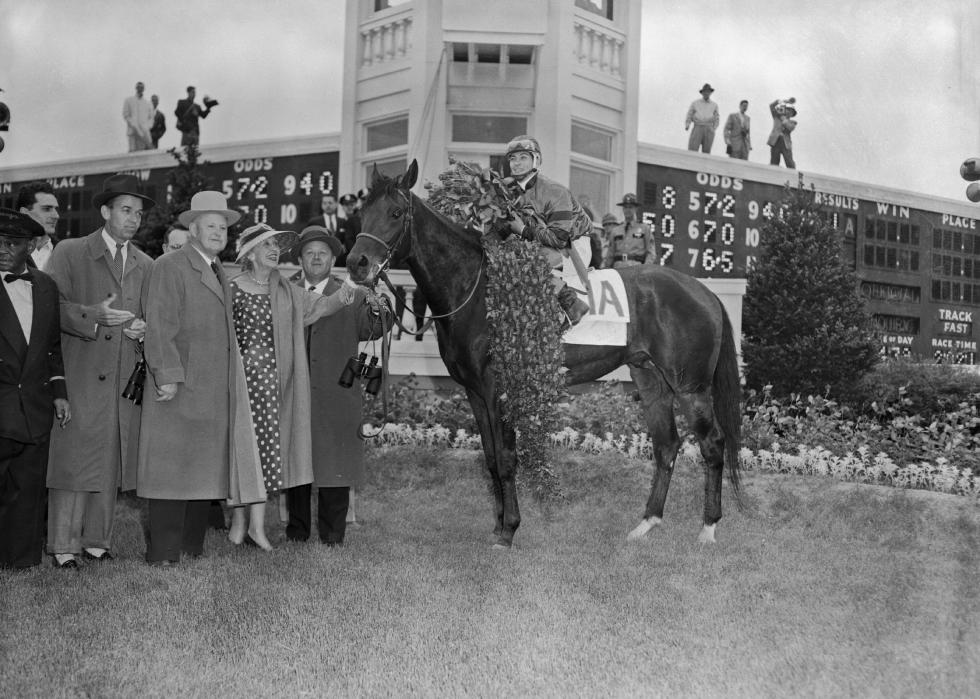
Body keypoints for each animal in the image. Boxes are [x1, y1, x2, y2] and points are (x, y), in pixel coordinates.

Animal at [348, 161, 740, 548]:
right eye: (363, 213)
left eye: (396, 212)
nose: (356, 263)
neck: (476, 291)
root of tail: (705, 292)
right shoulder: (474, 392)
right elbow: (490, 459)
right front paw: (498, 525)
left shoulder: (499, 389)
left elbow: (507, 459)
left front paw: (509, 530)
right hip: (651, 381)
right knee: (667, 445)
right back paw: (646, 523)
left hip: (690, 387)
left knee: (712, 443)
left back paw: (708, 528)